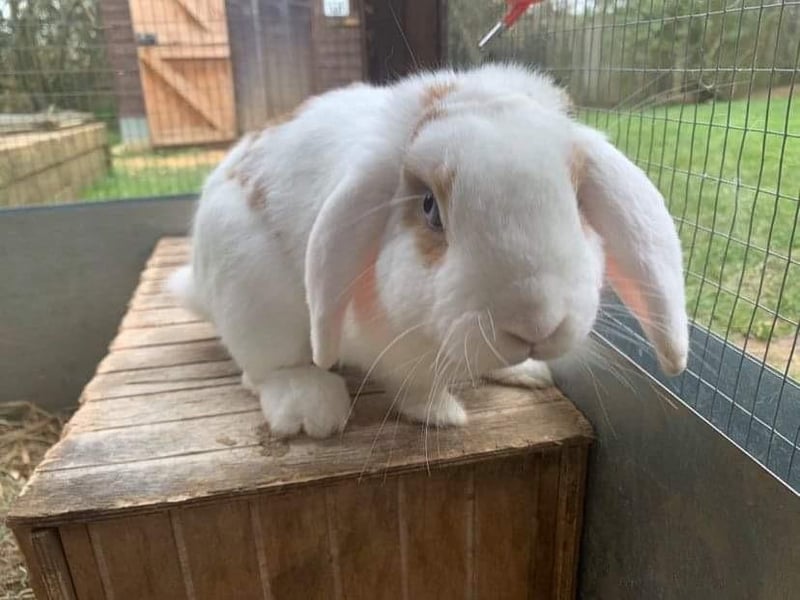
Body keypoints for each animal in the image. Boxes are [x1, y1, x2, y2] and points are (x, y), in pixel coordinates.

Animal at [168, 62, 688, 439]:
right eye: (429, 209)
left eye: (578, 202)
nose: (536, 324)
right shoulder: (391, 349)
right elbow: (415, 384)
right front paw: (441, 414)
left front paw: (520, 370)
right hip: (253, 297)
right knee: (264, 370)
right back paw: (309, 409)